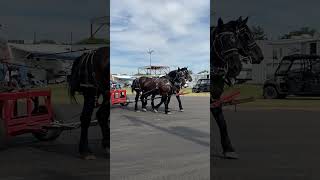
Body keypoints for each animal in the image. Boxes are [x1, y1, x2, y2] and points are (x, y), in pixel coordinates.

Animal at [211, 17, 264, 159]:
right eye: (246, 35)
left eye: (235, 39)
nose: (260, 55)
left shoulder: (215, 98)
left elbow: (222, 122)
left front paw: (228, 148)